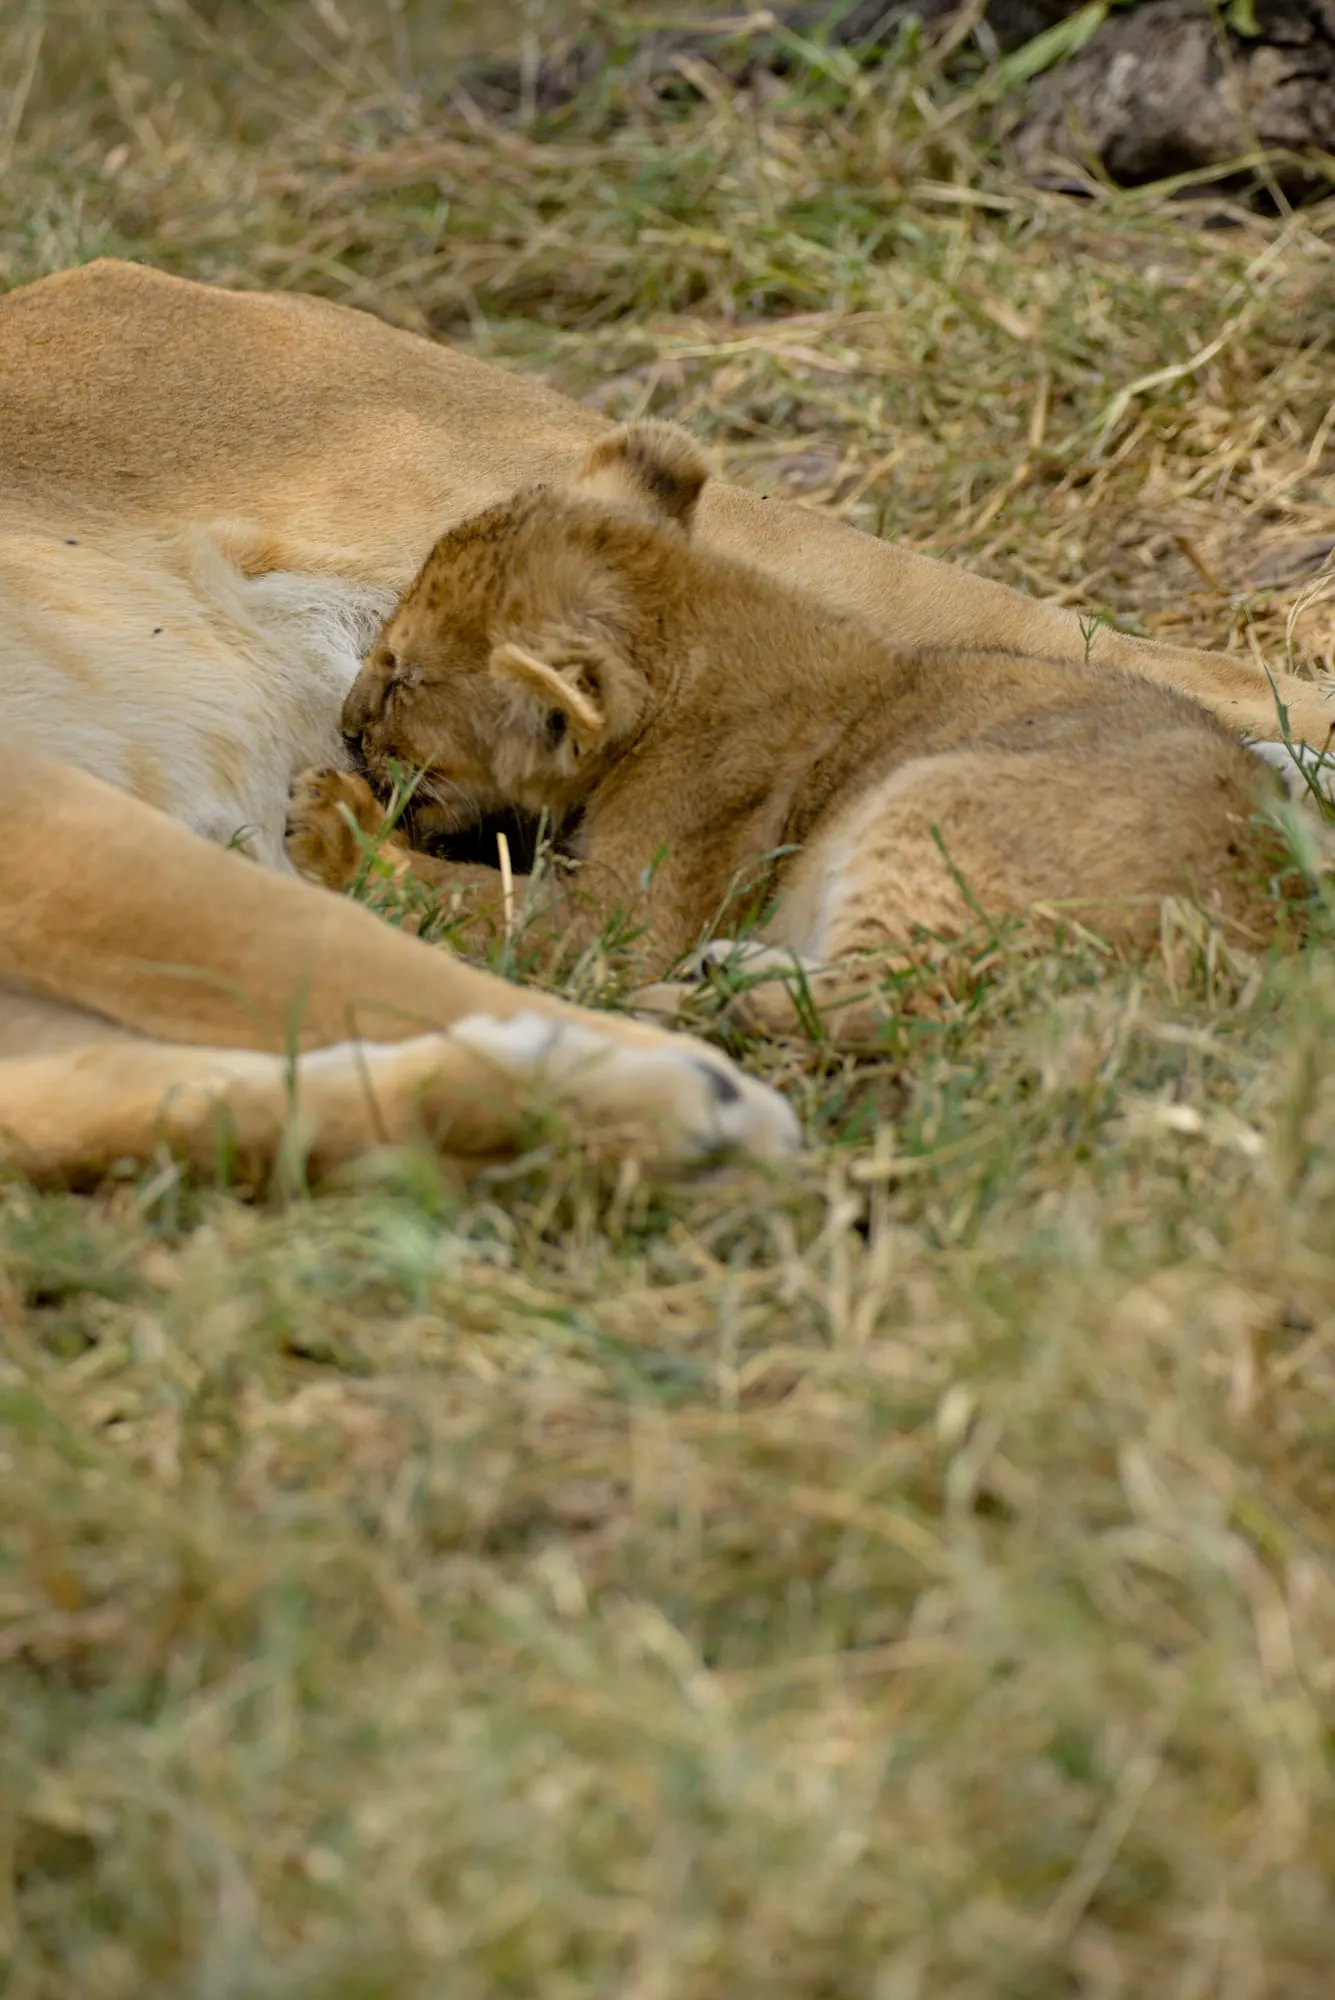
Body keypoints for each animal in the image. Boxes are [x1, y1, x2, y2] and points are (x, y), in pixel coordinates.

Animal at [0, 259, 1329, 1180]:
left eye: (400, 678)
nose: (343, 721)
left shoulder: (50, 816)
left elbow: (360, 952)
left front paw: (672, 1079)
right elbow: (165, 1105)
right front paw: (621, 1112)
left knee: (1191, 667)